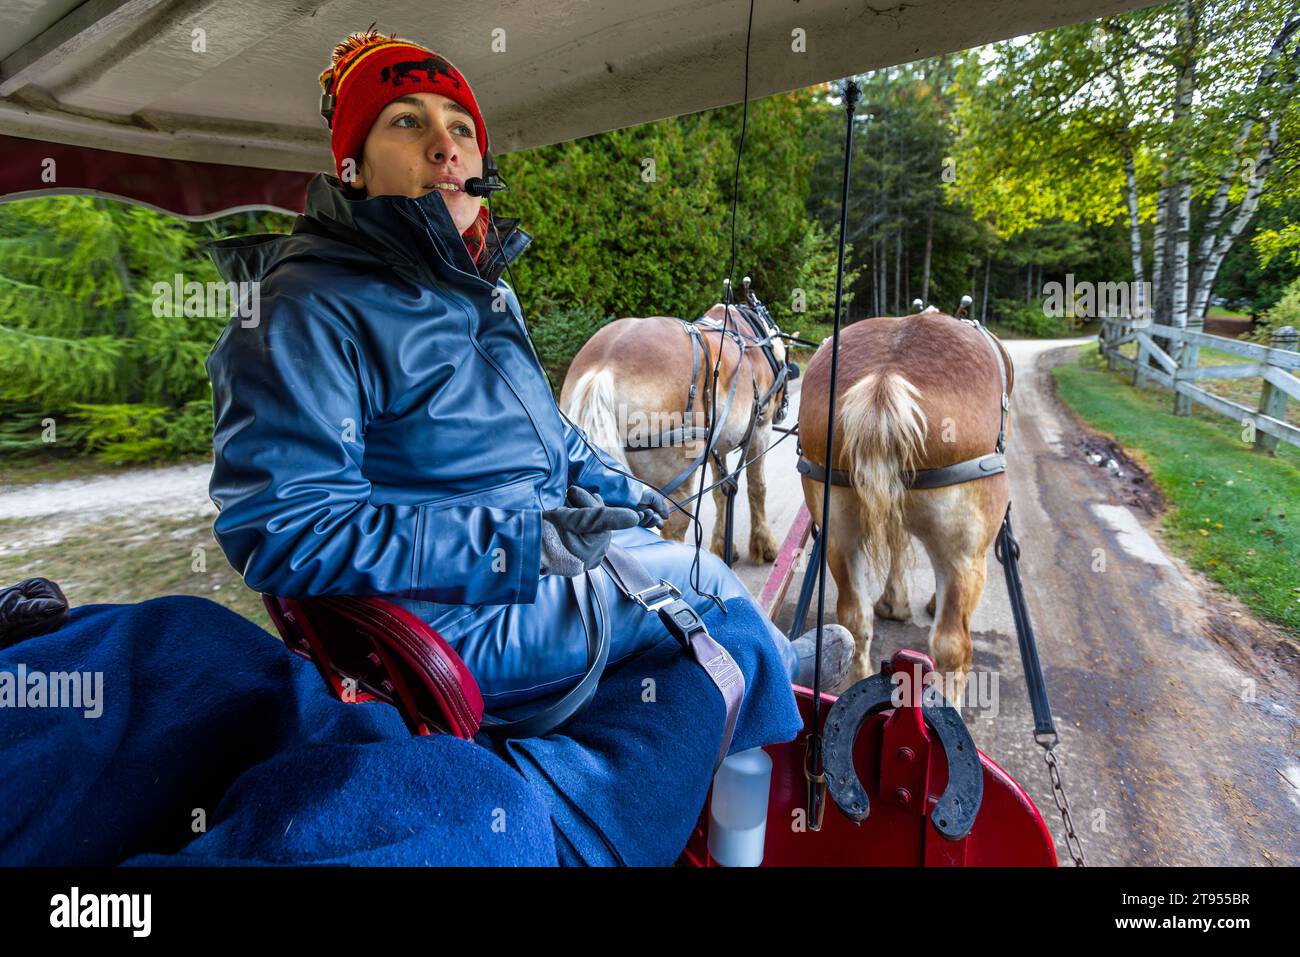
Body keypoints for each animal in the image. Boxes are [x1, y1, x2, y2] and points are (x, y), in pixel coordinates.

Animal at [561, 295, 790, 561]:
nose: (783, 409)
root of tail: (603, 367)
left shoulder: (717, 444)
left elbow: (720, 492)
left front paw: (723, 545)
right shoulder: (761, 428)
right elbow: (757, 487)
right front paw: (765, 545)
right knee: (675, 525)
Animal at [800, 314, 1013, 702]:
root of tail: (884, 378)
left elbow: (897, 543)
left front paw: (893, 603)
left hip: (838, 533)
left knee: (855, 620)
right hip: (965, 557)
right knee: (951, 647)